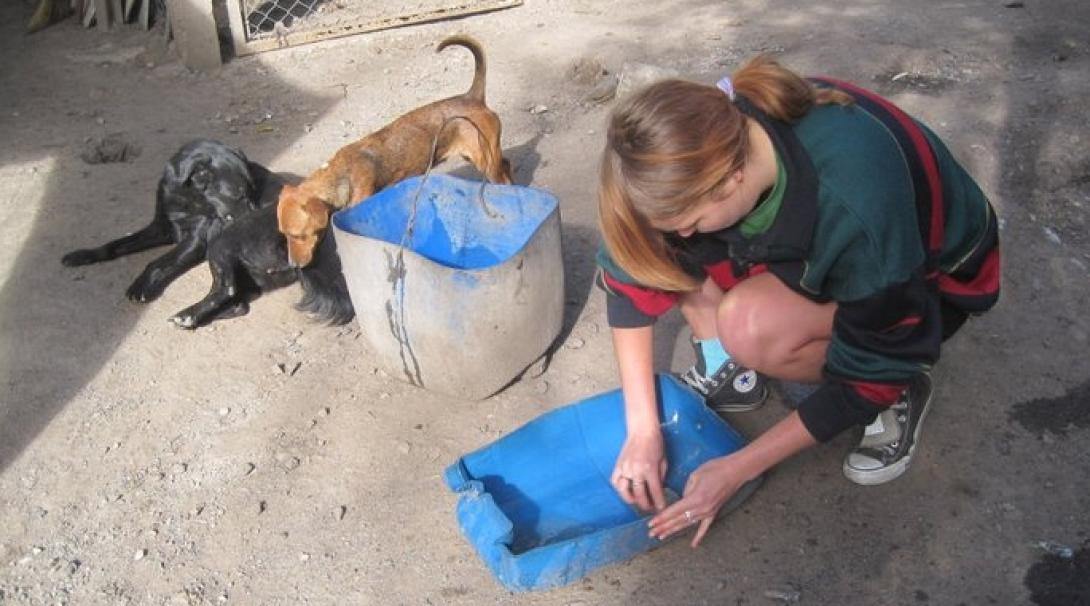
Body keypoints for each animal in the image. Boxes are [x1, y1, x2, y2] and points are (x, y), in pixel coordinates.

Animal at [60, 137, 276, 300]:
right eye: (237, 195)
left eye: (251, 191)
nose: (253, 219)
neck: (184, 200)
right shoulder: (159, 228)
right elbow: (114, 245)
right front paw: (84, 254)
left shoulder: (195, 241)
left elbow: (156, 262)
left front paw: (140, 285)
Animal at [272, 34, 510, 265]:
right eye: (284, 235)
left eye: (298, 235)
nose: (293, 265)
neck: (341, 174)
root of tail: (472, 97)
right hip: (478, 156)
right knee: (506, 165)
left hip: (485, 159)